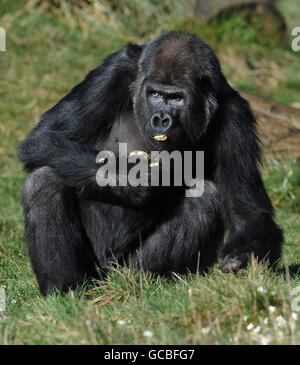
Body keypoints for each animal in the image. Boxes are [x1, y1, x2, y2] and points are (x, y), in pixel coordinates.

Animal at [19, 29, 284, 294]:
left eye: (176, 98)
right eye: (155, 94)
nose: (161, 119)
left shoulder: (236, 115)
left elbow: (246, 212)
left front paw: (244, 255)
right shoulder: (114, 71)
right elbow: (46, 136)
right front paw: (136, 181)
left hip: (126, 269)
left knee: (204, 197)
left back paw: (146, 282)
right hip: (97, 271)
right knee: (43, 181)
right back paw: (68, 290)